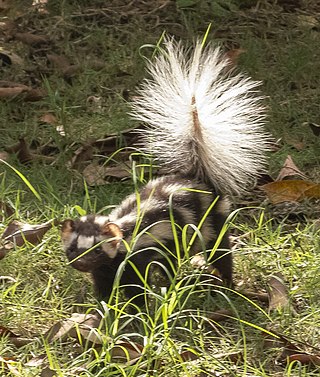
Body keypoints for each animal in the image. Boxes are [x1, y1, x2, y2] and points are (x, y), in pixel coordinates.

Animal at [60, 38, 270, 304]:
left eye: (97, 249)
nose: (80, 263)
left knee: (219, 250)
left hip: (212, 218)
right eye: (73, 248)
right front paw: (102, 307)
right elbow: (104, 286)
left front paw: (135, 309)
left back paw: (226, 283)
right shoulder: (106, 268)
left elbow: (136, 287)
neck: (125, 235)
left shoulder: (136, 256)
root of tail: (195, 175)